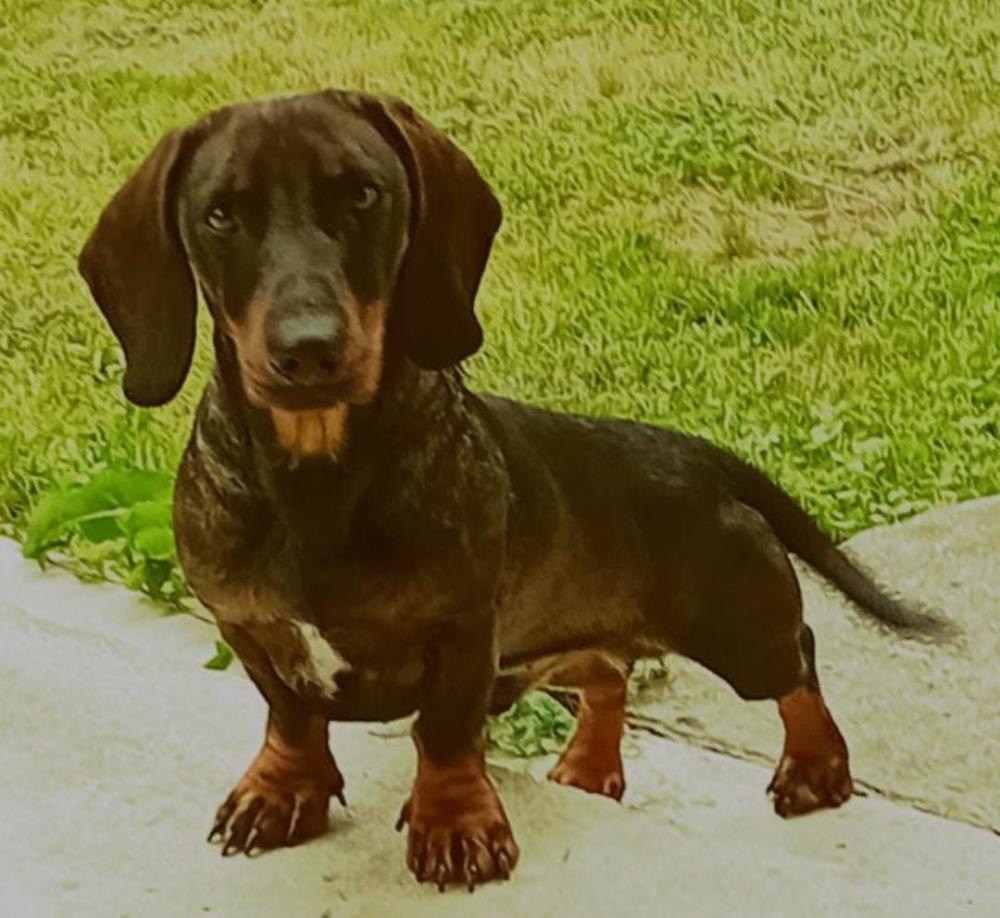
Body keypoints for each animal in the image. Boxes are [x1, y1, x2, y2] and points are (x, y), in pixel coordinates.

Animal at [76, 91, 944, 892]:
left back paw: (815, 765)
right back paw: (589, 764)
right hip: (547, 648)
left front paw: (454, 824)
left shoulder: (465, 631)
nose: (308, 350)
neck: (315, 475)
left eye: (363, 194)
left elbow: (444, 733)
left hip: (737, 627)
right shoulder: (248, 624)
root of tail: (694, 455)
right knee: (609, 672)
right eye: (221, 215)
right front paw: (282, 791)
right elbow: (290, 714)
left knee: (798, 663)